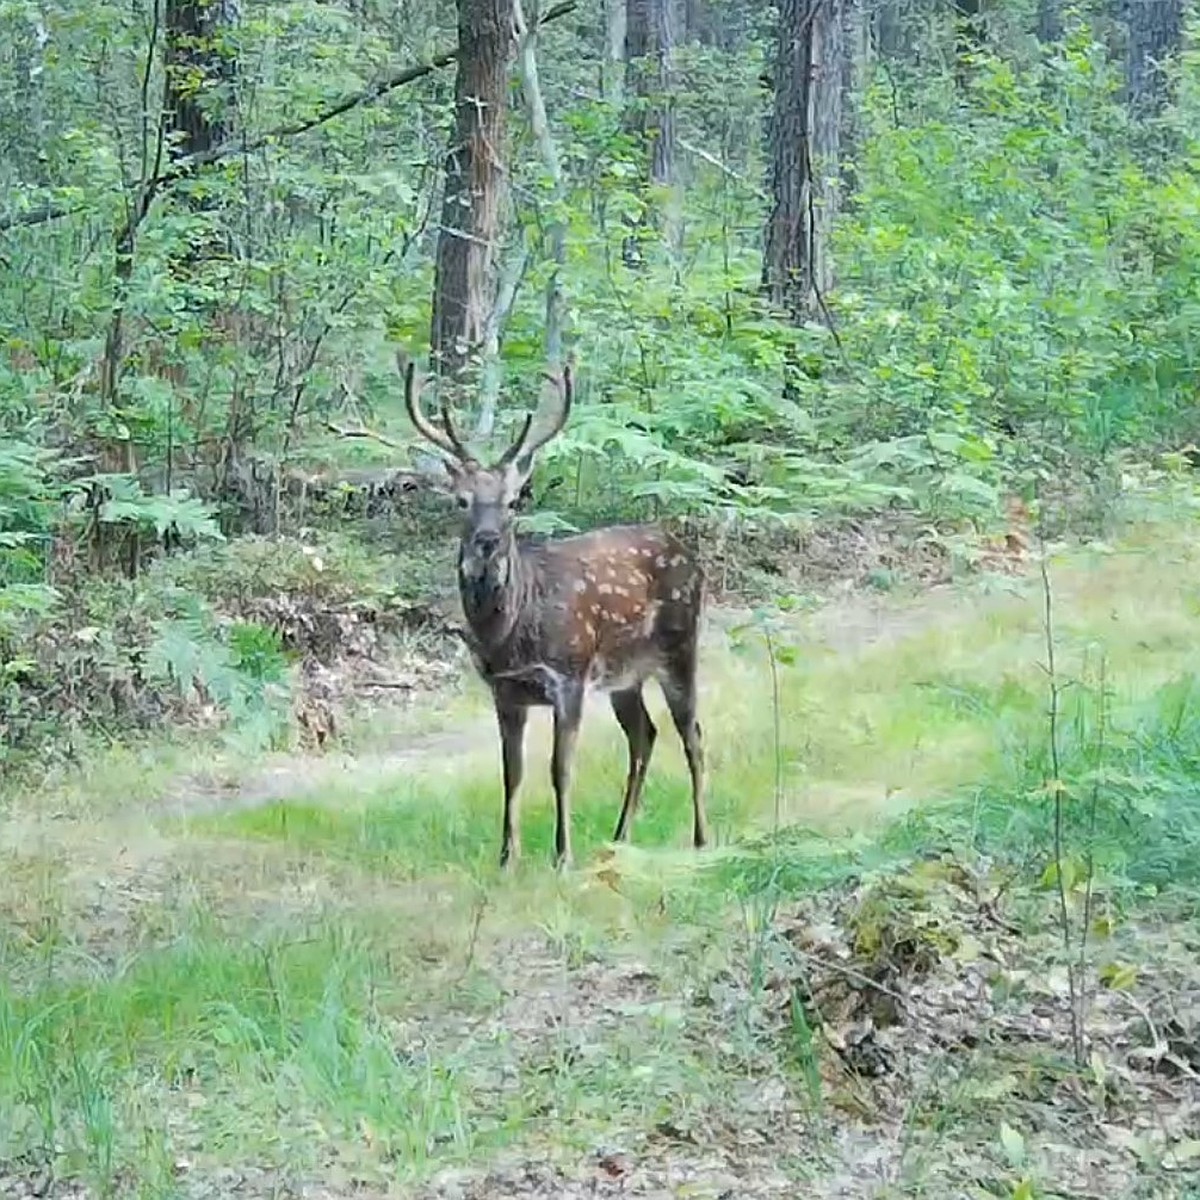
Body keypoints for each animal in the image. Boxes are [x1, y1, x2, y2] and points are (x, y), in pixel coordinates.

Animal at [403, 355, 705, 873]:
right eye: (462, 500)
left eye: (512, 502)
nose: (486, 541)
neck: (512, 631)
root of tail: (689, 553)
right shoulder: (505, 691)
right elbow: (512, 773)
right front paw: (508, 857)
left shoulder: (569, 677)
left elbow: (560, 769)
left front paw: (562, 856)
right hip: (625, 675)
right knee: (644, 734)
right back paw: (619, 838)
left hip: (680, 645)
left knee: (693, 736)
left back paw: (702, 839)